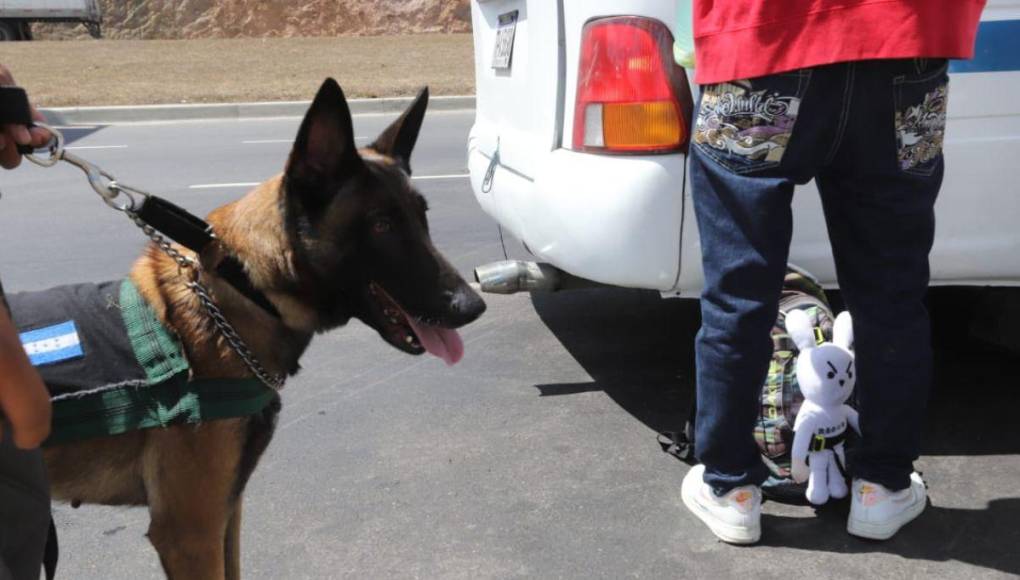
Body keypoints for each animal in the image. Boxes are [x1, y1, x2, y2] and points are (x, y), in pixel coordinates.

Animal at [39, 77, 485, 578]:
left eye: (421, 217)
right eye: (382, 225)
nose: (473, 305)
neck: (244, 291)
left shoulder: (225, 512)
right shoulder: (189, 533)